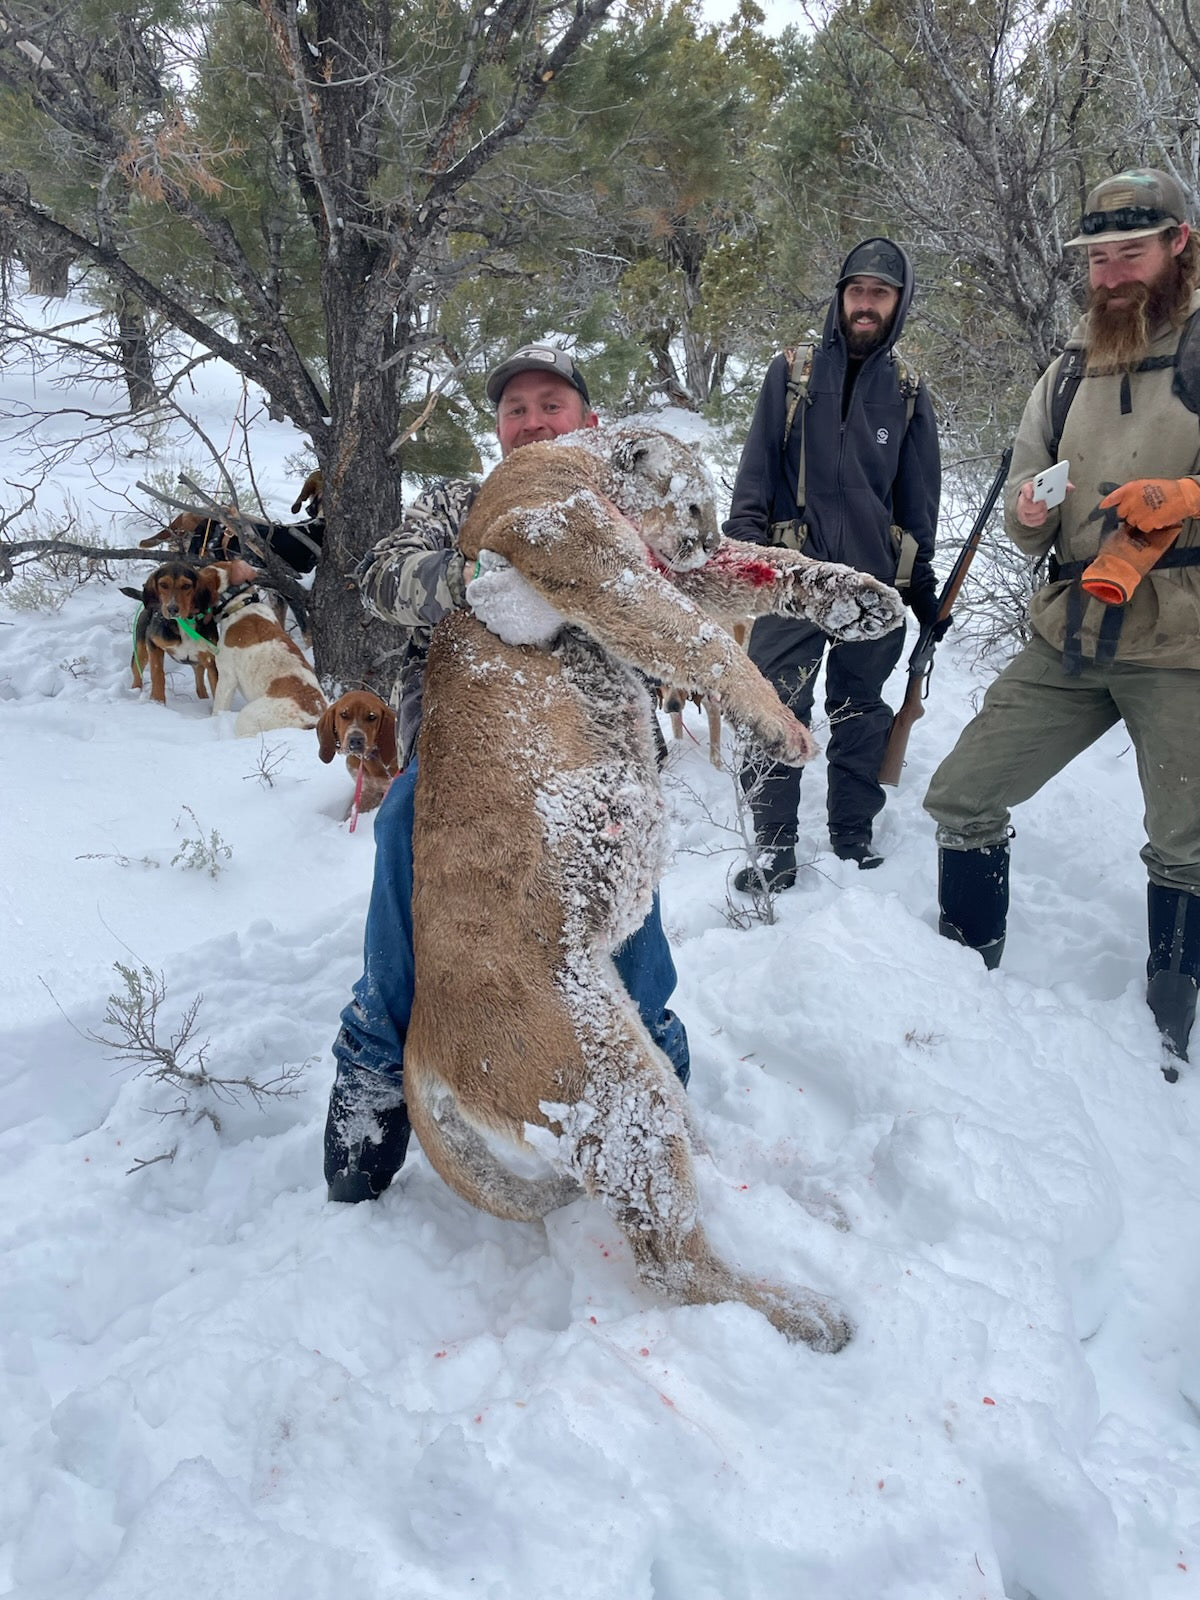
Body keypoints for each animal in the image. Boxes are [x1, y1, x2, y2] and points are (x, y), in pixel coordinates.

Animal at [405, 425, 904, 1351]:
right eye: (696, 500)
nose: (702, 538)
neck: (576, 462)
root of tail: (419, 1036)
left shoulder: (664, 570)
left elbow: (768, 564)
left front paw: (862, 599)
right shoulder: (579, 550)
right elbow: (697, 636)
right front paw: (777, 726)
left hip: (623, 1040)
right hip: (603, 1085)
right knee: (671, 1260)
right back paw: (805, 1313)